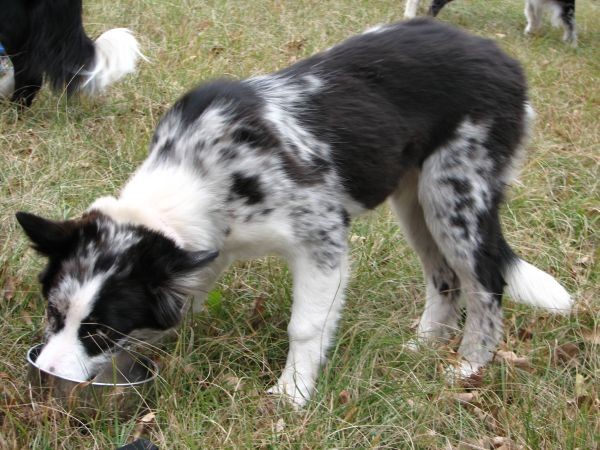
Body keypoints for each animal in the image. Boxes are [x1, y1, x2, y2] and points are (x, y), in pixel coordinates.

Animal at [17, 19, 572, 408]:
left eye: (99, 332)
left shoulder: (321, 241)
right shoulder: (206, 251)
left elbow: (304, 326)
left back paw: (468, 366)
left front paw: (292, 396)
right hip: (413, 199)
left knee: (486, 281)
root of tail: (503, 57)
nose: (47, 375)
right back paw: (421, 346)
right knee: (446, 279)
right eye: (53, 314)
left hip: (455, 194)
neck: (199, 171)